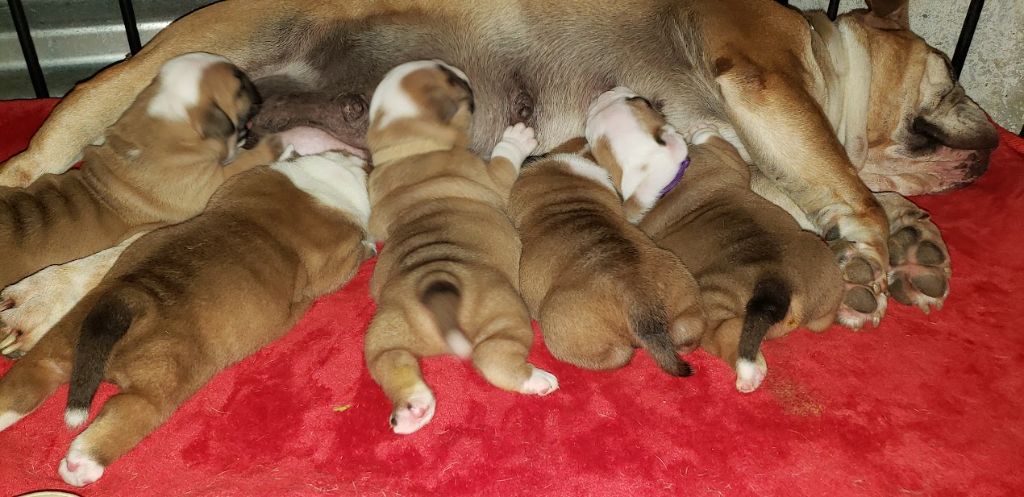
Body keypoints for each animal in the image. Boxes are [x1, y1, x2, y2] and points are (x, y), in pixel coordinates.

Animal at [0, 150, 376, 483]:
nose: (364, 160)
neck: (320, 182)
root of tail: (129, 301)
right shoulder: (338, 257)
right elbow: (352, 253)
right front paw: (370, 245)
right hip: (160, 382)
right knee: (125, 414)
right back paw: (81, 464)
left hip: (62, 340)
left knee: (28, 380)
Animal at [364, 59, 557, 434]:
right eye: (451, 78)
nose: (463, 73)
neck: (408, 147)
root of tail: (433, 287)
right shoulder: (491, 177)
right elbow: (504, 164)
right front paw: (516, 139)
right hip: (504, 312)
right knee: (492, 357)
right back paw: (536, 380)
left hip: (384, 333)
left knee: (390, 361)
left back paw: (412, 409)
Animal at [638, 120, 847, 391]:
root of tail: (776, 282)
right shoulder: (727, 164)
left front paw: (700, 129)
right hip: (824, 277)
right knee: (821, 321)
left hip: (711, 300)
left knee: (726, 334)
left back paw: (748, 374)